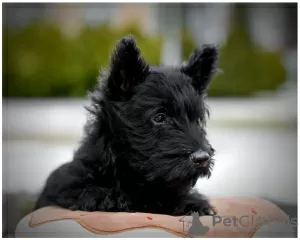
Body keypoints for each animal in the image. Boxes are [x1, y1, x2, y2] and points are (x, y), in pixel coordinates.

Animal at [35, 36, 218, 218]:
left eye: (197, 120)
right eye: (159, 117)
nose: (202, 158)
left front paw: (192, 203)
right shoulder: (66, 185)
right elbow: (85, 192)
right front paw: (109, 198)